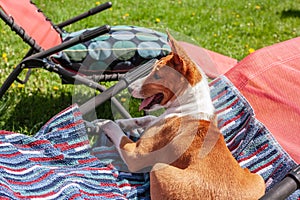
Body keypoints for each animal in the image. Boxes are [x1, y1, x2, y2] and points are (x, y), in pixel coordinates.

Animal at [97, 32, 264, 199]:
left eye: (157, 76)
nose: (129, 88)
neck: (190, 105)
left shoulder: (135, 155)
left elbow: (113, 126)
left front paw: (102, 122)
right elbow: (148, 119)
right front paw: (125, 122)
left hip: (159, 167)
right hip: (259, 179)